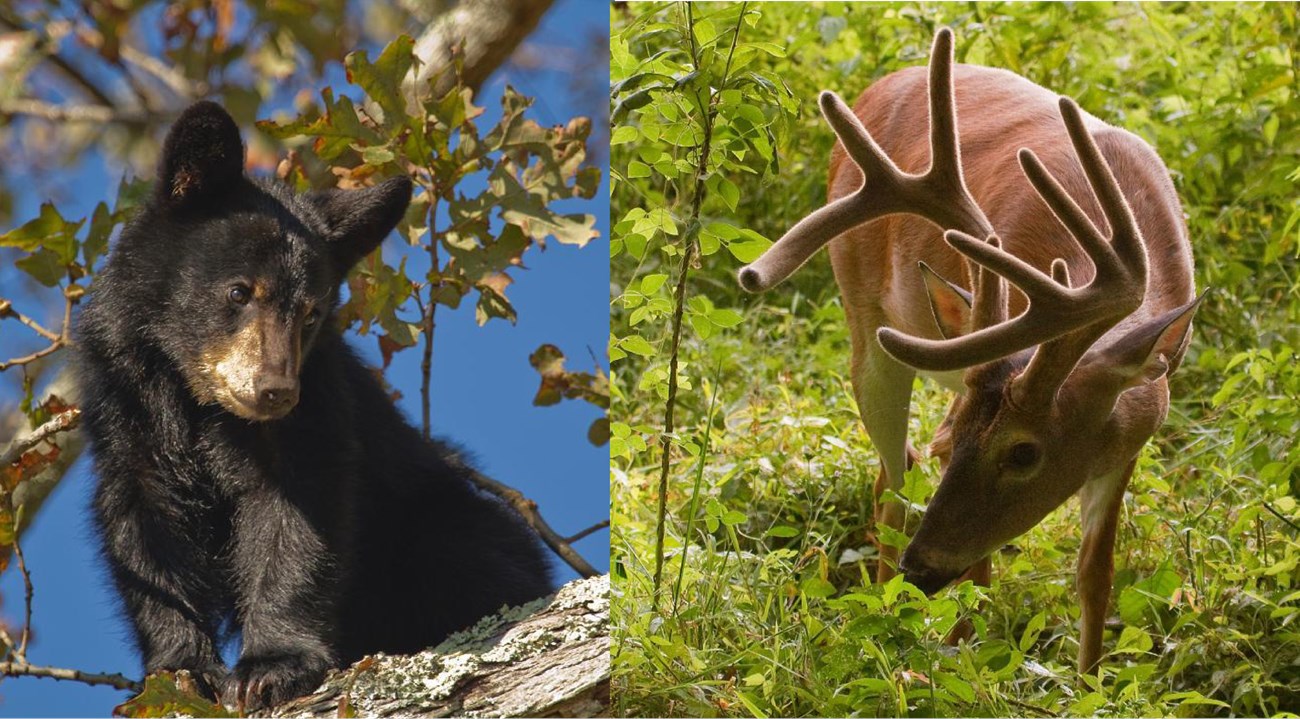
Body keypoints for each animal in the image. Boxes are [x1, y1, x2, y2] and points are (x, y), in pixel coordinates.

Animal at [74, 101, 553, 711]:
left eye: (312, 313)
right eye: (239, 291)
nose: (276, 391)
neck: (196, 401)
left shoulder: (319, 403)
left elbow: (298, 518)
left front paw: (273, 667)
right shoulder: (124, 403)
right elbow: (145, 535)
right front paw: (181, 669)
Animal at [737, 27, 1200, 674]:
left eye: (1024, 452)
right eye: (960, 441)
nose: (921, 568)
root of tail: (882, 84)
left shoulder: (1130, 438)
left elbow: (1095, 574)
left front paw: (1091, 682)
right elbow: (980, 567)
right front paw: (968, 659)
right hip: (865, 326)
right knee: (894, 480)